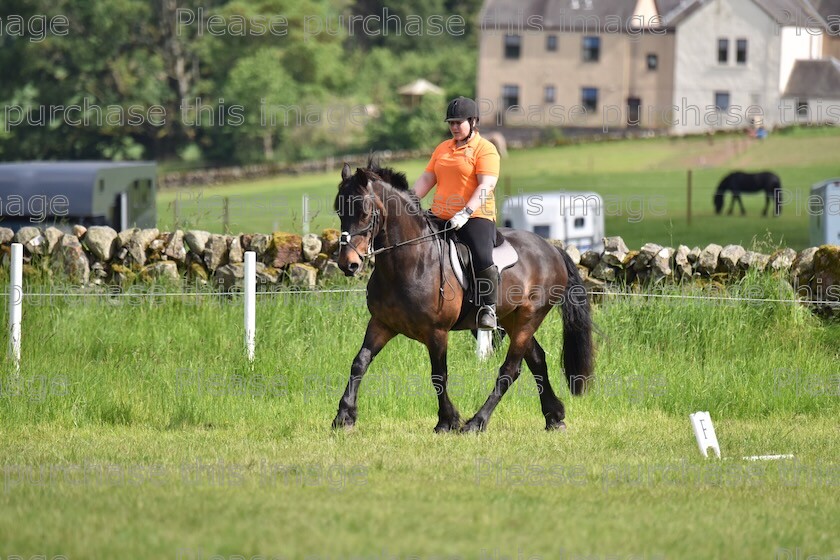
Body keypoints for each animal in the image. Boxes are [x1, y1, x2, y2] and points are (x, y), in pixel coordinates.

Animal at [332, 162, 592, 434]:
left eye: (364, 212)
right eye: (339, 211)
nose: (348, 264)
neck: (410, 261)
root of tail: (552, 248)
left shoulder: (436, 331)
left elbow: (439, 375)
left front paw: (447, 421)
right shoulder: (381, 324)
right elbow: (359, 362)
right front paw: (344, 417)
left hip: (529, 317)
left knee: (510, 369)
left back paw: (477, 422)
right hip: (512, 319)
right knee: (537, 360)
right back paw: (554, 416)